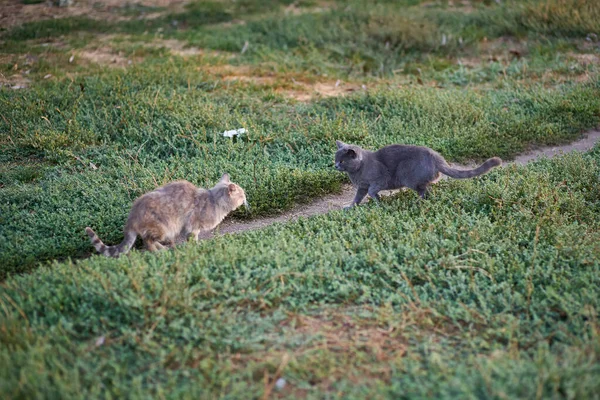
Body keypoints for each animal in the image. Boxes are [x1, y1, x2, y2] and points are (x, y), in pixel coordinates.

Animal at [85, 174, 247, 256]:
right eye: (242, 194)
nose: (247, 198)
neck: (214, 201)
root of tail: (132, 216)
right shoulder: (192, 226)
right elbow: (193, 238)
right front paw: (197, 247)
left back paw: (164, 249)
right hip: (162, 227)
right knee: (147, 241)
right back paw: (159, 253)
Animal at [336, 141, 500, 208]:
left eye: (342, 161)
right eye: (335, 159)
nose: (335, 165)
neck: (357, 171)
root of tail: (437, 158)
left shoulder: (380, 180)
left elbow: (372, 191)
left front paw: (378, 201)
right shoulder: (362, 187)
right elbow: (358, 197)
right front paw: (351, 207)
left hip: (407, 174)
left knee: (425, 191)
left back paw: (418, 202)